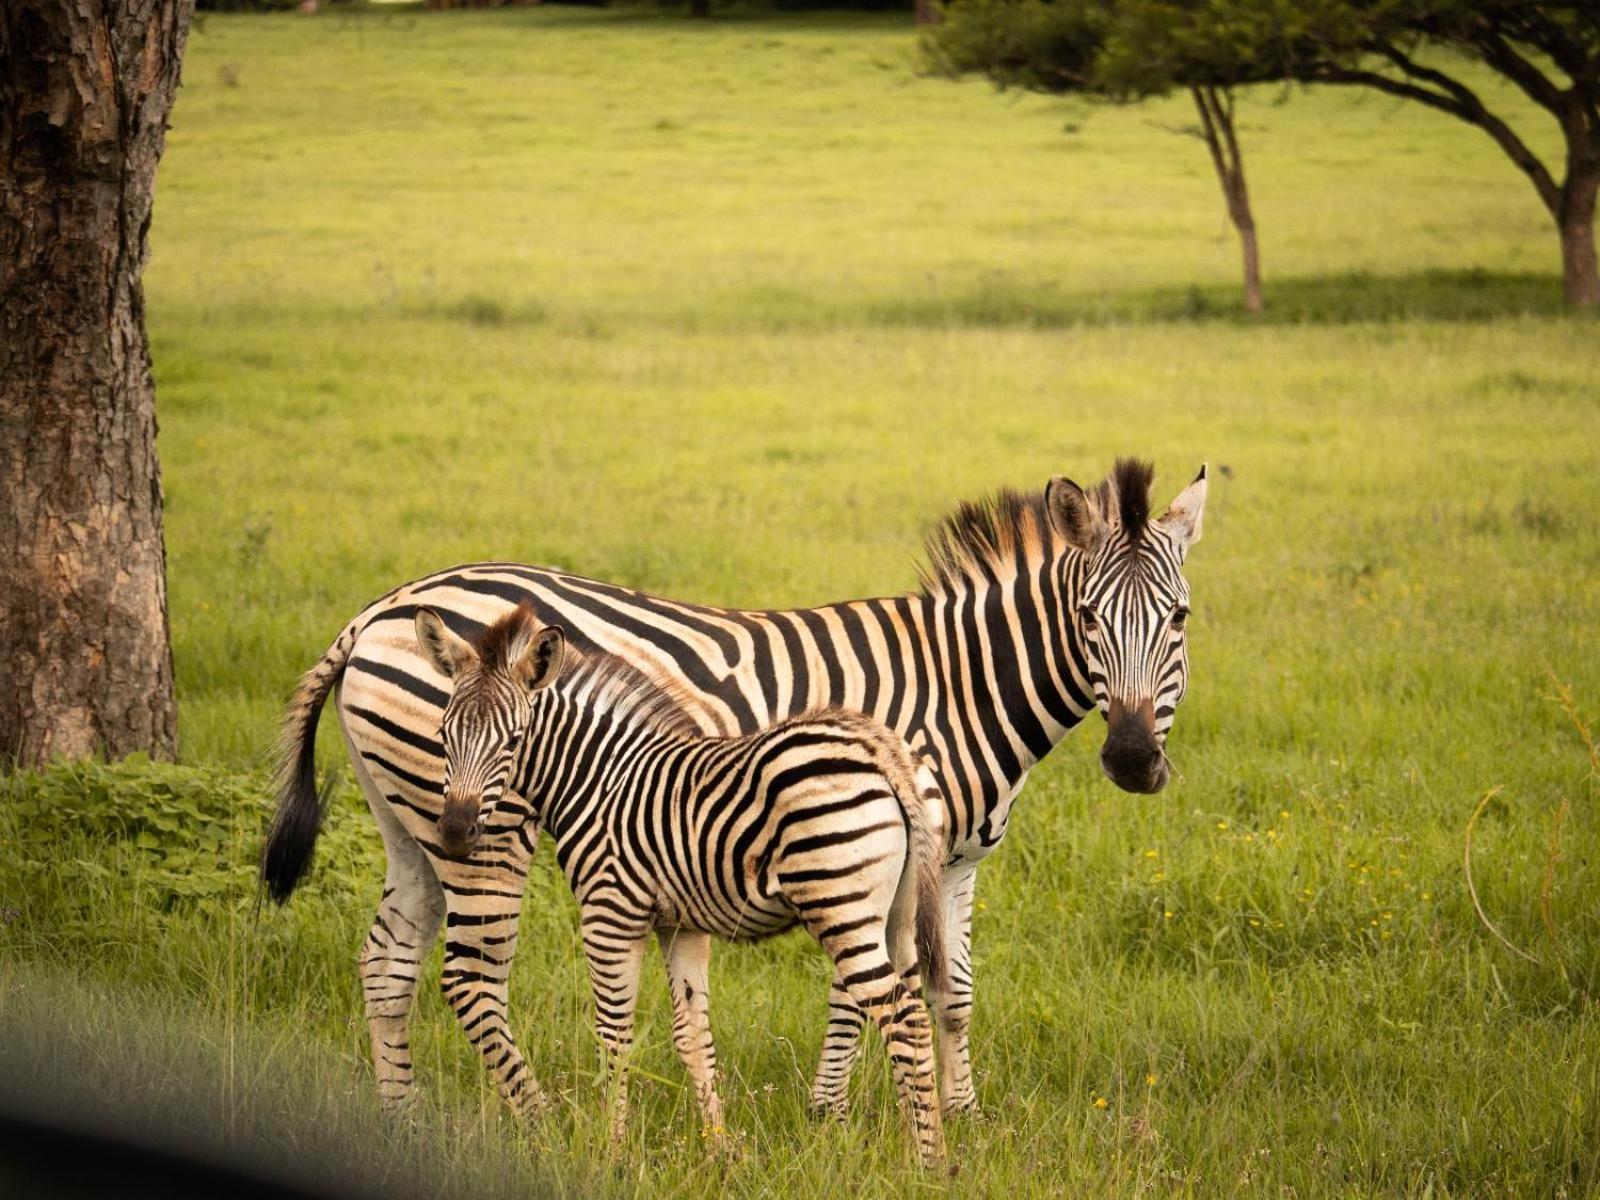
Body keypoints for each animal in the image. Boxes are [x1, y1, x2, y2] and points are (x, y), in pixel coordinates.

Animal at [419, 601, 953, 1164]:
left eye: (514, 741)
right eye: (443, 736)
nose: (454, 832)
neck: (600, 780)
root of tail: (878, 750)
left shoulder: (611, 913)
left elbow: (614, 1032)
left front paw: (613, 1149)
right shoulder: (681, 926)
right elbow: (693, 1035)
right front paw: (719, 1150)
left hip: (840, 903)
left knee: (903, 1018)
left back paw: (929, 1160)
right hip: (896, 913)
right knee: (912, 1010)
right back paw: (920, 1145)